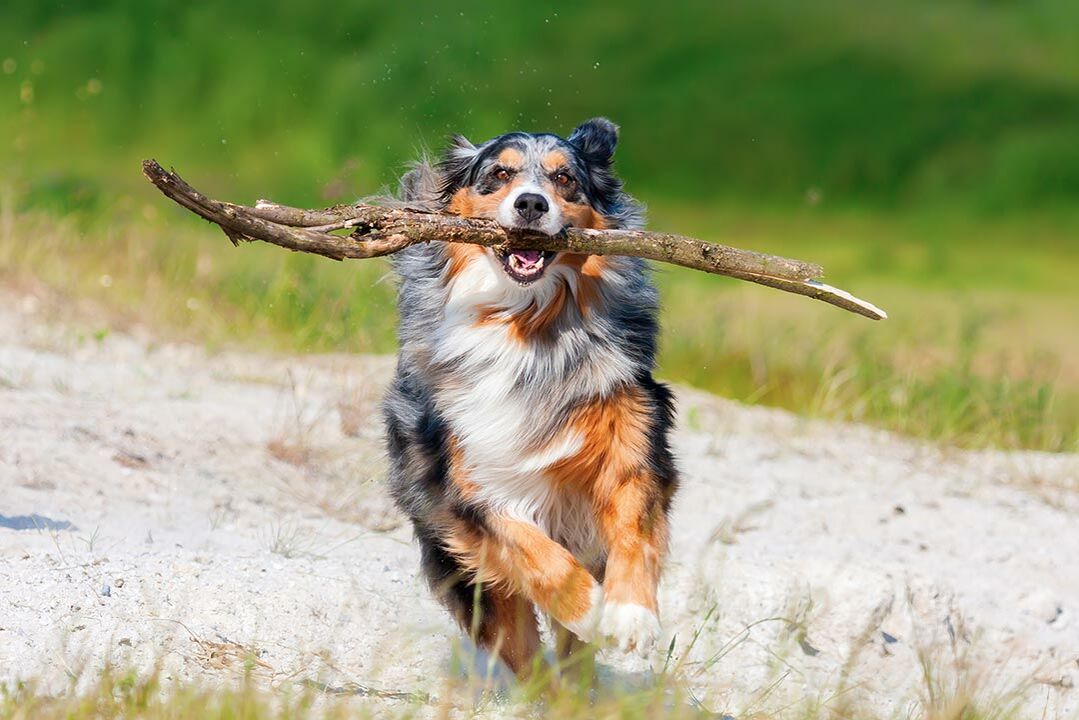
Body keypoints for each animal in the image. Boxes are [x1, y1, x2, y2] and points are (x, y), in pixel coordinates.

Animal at [384, 117, 677, 677]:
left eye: (565, 180)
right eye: (499, 174)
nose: (531, 204)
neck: (526, 323)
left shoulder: (632, 428)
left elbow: (634, 522)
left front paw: (631, 616)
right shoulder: (464, 482)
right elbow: (533, 551)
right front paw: (591, 609)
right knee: (519, 644)